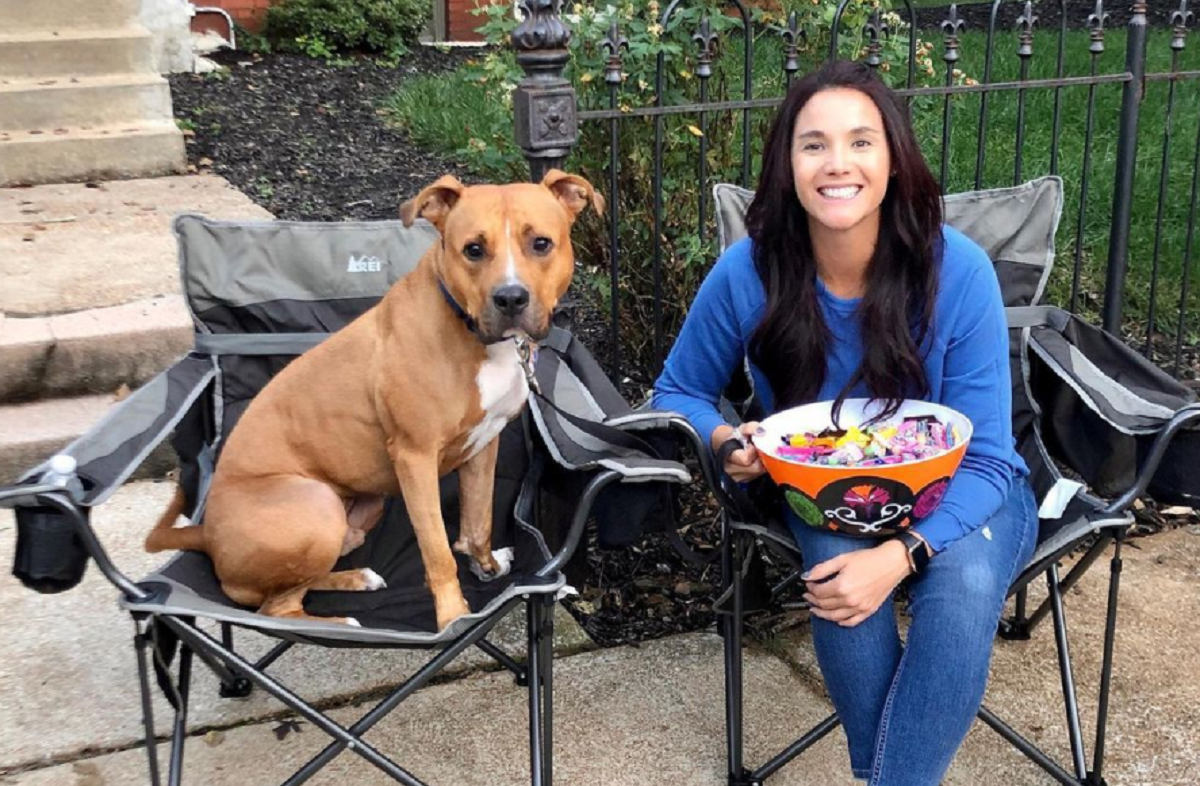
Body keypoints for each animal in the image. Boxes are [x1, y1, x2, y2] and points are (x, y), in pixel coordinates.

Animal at [145, 172, 604, 633]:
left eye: (541, 243)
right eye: (473, 249)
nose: (511, 298)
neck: (472, 332)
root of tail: (205, 533)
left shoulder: (484, 444)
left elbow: (478, 520)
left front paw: (487, 566)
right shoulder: (415, 458)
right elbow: (437, 550)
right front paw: (453, 615)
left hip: (362, 507)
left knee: (322, 564)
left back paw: (355, 577)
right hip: (315, 504)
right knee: (277, 607)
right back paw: (339, 620)